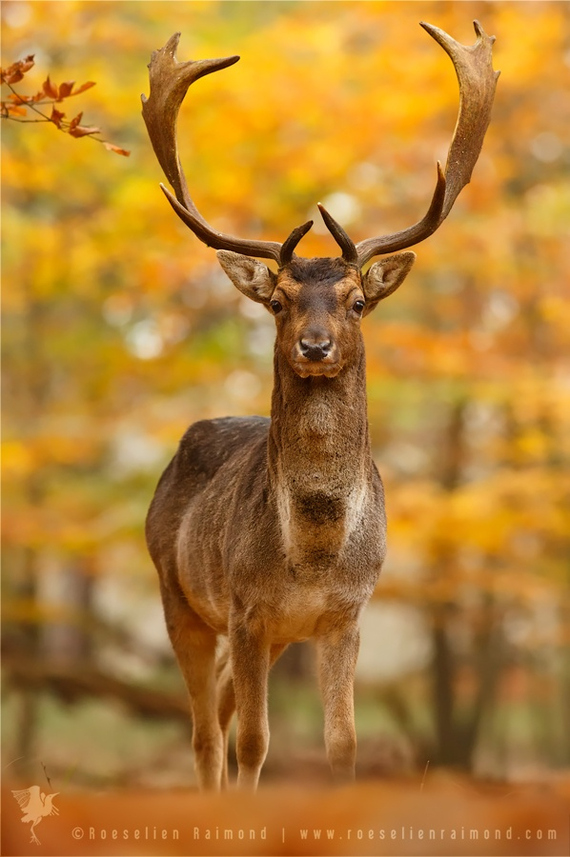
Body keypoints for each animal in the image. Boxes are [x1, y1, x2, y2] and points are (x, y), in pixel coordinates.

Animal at [143, 20, 496, 788]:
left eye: (358, 301)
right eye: (277, 301)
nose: (313, 344)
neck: (315, 553)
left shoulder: (344, 615)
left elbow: (342, 743)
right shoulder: (246, 608)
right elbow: (254, 742)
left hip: (265, 633)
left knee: (218, 712)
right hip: (179, 595)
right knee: (207, 733)